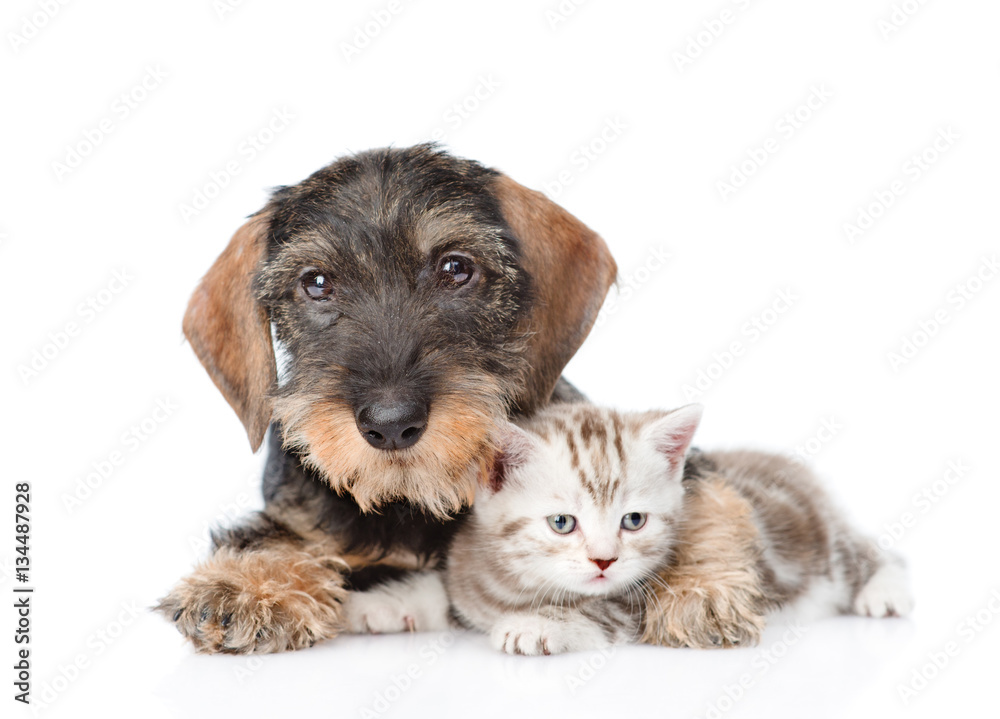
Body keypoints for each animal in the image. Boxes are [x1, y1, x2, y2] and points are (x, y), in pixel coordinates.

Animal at [158, 145, 764, 652]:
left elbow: (707, 501)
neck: (418, 499)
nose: (391, 423)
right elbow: (270, 535)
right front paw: (246, 587)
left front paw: (700, 589)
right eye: (316, 283)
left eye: (456, 267)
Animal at [344, 402, 916, 656]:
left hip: (825, 546)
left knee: (875, 553)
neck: (514, 586)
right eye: (562, 523)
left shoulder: (646, 600)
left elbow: (599, 610)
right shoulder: (466, 573)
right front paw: (378, 604)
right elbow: (441, 592)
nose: (604, 560)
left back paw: (885, 592)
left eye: (633, 521)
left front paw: (538, 625)